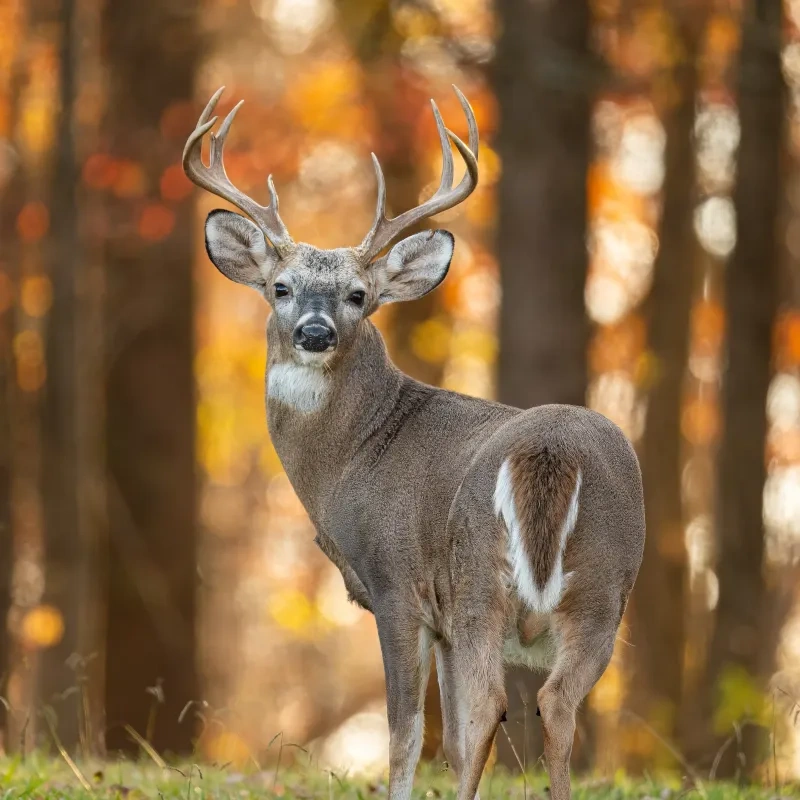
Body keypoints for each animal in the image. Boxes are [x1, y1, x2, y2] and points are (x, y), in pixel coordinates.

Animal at [183, 86, 645, 800]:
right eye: (281, 288)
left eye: (358, 295)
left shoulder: (397, 584)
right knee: (556, 703)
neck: (354, 456)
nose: (314, 331)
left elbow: (406, 733)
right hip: (604, 582)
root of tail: (549, 451)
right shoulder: (445, 622)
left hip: (479, 572)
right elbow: (451, 742)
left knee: (495, 705)